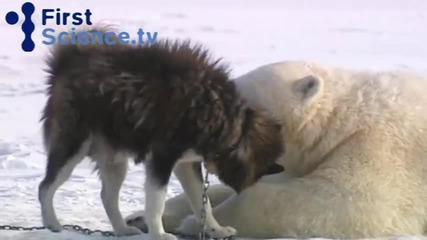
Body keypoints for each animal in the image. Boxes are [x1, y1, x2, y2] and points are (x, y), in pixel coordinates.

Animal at [39, 27, 284, 239]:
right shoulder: (162, 157)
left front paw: (216, 230)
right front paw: (159, 234)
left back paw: (123, 230)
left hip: (114, 158)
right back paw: (52, 224)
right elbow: (157, 202)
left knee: (107, 197)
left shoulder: (186, 163)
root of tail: (67, 62)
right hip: (73, 146)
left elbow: (202, 202)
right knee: (45, 187)